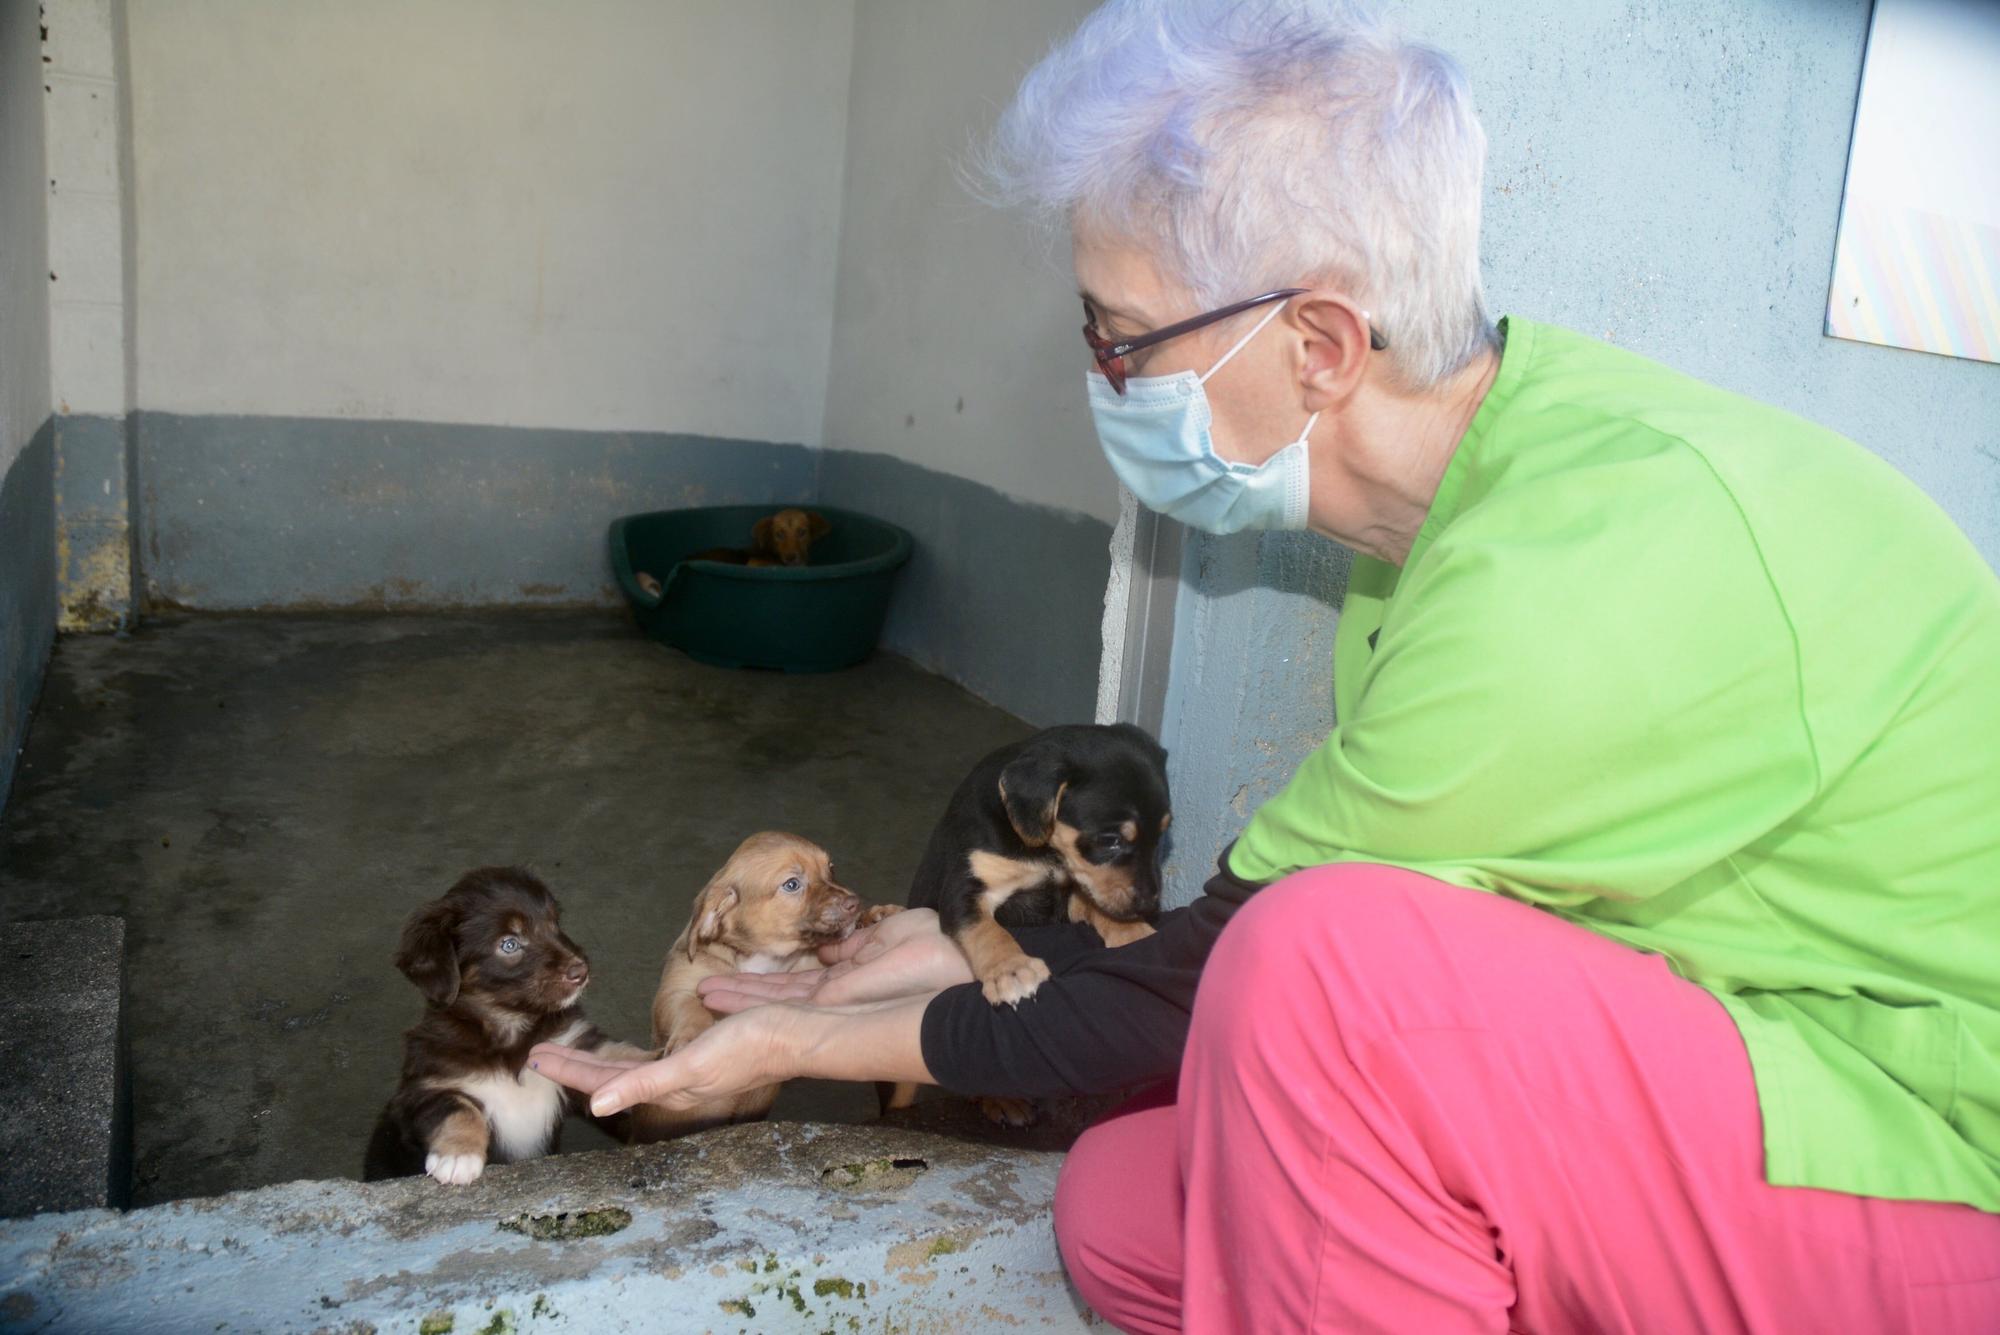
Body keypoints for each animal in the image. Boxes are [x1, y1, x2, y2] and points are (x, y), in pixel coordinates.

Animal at [358, 871, 640, 1183]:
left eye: (554, 923)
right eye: (509, 944)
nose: (581, 971)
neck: (509, 1026)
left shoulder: (570, 1043)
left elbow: (614, 1056)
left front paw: (655, 1060)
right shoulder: (424, 1087)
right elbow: (457, 1107)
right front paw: (458, 1156)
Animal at [624, 827, 900, 1143]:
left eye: (831, 868)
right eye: (792, 884)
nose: (855, 904)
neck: (763, 958)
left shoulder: (810, 962)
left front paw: (875, 917)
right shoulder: (676, 991)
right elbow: (690, 1008)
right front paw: (692, 1038)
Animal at [912, 723, 1168, 1007]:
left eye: (1160, 836)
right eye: (1110, 840)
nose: (1149, 904)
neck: (1047, 852)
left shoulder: (1071, 895)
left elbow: (1100, 907)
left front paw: (1134, 932)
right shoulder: (965, 887)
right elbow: (986, 930)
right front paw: (1011, 969)